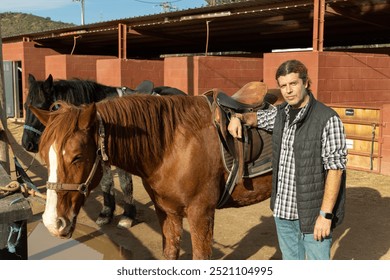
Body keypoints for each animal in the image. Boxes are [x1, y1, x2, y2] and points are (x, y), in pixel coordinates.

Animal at [21, 74, 184, 228]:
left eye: (41, 106)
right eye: (24, 106)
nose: (26, 144)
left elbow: (125, 185)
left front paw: (128, 216)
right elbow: (106, 183)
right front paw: (106, 214)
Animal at [31, 94, 272, 260]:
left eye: (77, 157)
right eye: (44, 156)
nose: (52, 222)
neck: (174, 145)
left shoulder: (201, 213)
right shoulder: (166, 211)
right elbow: (170, 252)